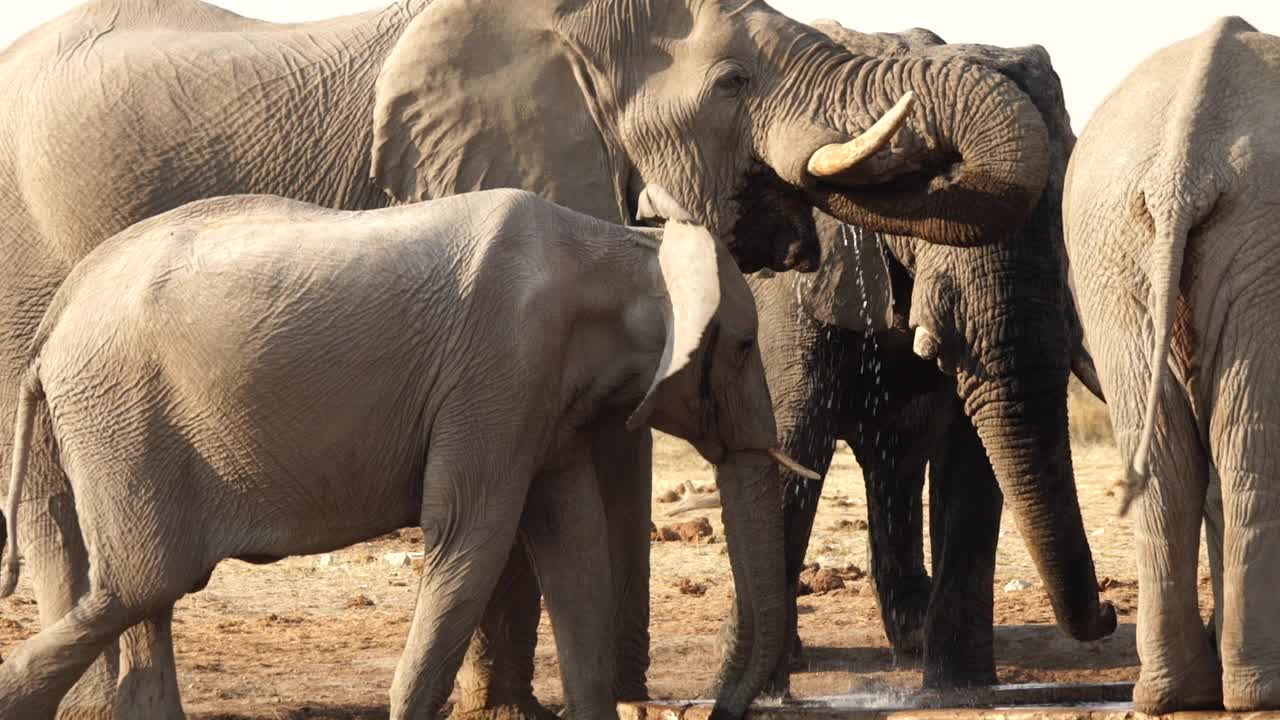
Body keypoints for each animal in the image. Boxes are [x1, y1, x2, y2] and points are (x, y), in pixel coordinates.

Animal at [0, 189, 803, 717]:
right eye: (743, 346)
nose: (721, 708)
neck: (626, 249)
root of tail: (53, 324)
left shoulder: (543, 399)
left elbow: (572, 546)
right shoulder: (497, 370)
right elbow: (472, 540)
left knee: (146, 600)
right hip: (122, 420)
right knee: (144, 584)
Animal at [686, 23, 1116, 691]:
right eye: (926, 184)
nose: (1111, 612)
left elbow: (972, 456)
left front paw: (960, 690)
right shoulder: (787, 284)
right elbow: (791, 437)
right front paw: (751, 689)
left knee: (898, 455)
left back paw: (910, 642)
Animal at [1064, 16, 1280, 712]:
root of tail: (1183, 162)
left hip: (1109, 247)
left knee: (1171, 461)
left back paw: (1172, 693)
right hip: (1255, 245)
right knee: (1245, 448)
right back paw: (1250, 692)